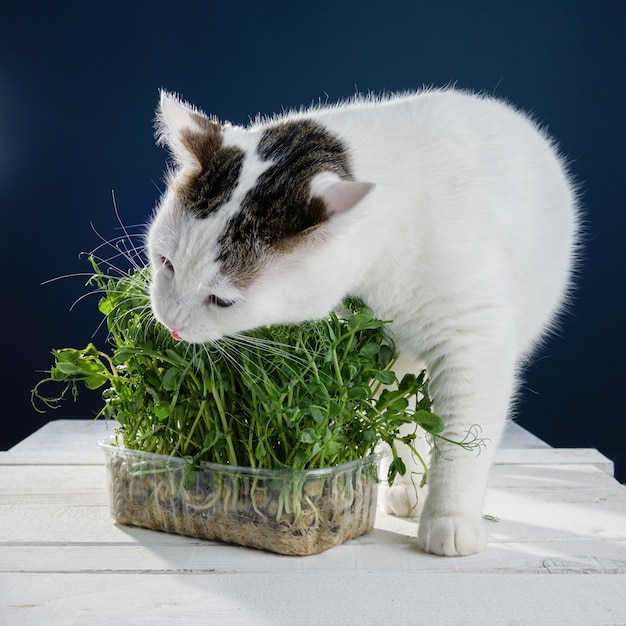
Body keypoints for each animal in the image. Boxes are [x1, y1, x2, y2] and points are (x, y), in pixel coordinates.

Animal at [145, 85, 576, 552]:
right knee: (397, 413)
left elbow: (462, 440)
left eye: (222, 300)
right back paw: (407, 489)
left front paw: (450, 519)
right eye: (166, 262)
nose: (170, 321)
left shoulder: (473, 342)